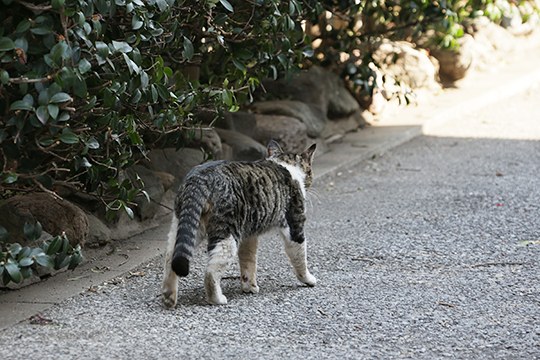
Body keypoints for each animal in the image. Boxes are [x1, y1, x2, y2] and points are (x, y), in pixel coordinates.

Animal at [162, 141, 318, 306]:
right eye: (310, 171)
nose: (309, 181)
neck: (283, 163)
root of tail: (199, 178)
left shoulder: (249, 235)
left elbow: (248, 260)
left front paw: (249, 287)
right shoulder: (295, 226)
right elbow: (300, 258)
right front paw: (308, 280)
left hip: (187, 225)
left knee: (171, 257)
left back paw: (169, 297)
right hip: (227, 235)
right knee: (210, 272)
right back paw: (217, 299)